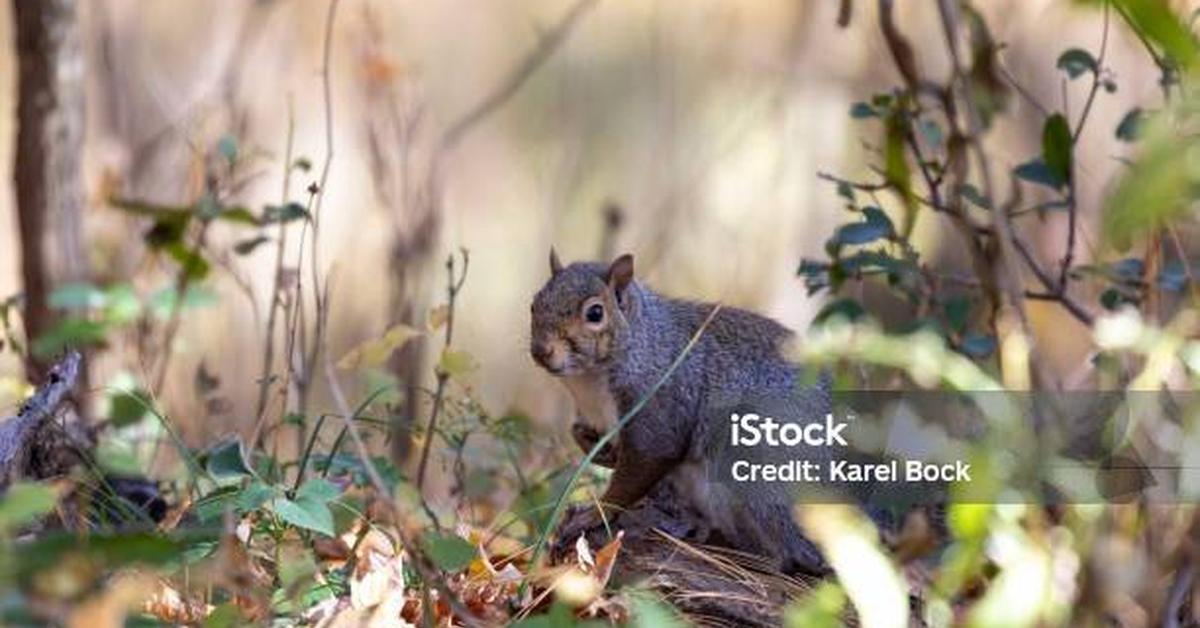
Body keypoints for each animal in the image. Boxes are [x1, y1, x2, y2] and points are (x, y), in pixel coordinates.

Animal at [530, 249, 830, 573]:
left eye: (595, 313)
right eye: (534, 304)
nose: (541, 351)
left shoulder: (661, 404)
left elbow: (640, 470)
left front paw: (594, 513)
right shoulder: (595, 415)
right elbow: (577, 432)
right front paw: (599, 452)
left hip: (756, 463)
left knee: (788, 550)